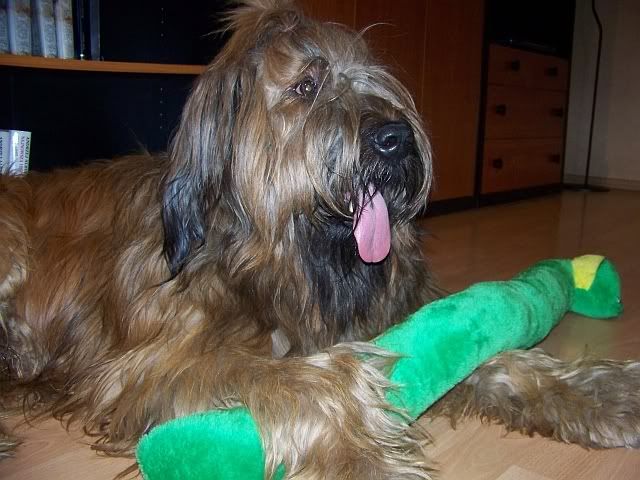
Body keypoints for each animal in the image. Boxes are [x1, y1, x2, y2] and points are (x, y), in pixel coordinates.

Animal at [2, 1, 640, 478]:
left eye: (379, 82)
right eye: (306, 86)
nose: (395, 139)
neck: (278, 268)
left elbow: (495, 354)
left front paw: (602, 392)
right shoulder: (153, 364)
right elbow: (320, 377)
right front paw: (368, 457)